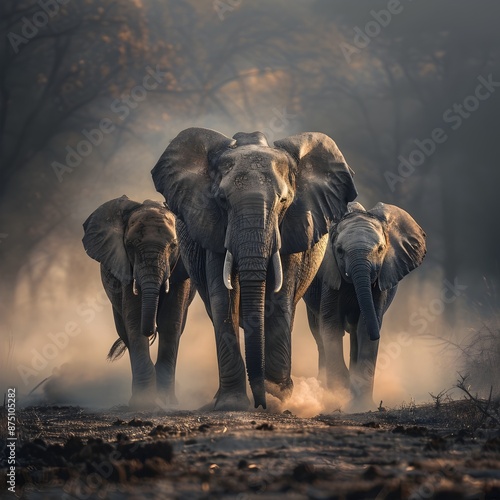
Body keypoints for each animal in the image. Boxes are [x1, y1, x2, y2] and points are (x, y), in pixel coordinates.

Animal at [82, 193, 193, 408]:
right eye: (130, 246)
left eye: (174, 246)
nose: (150, 330)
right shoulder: (124, 265)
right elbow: (134, 321)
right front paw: (144, 402)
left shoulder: (181, 269)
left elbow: (171, 322)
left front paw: (166, 402)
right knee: (124, 331)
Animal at [150, 127, 358, 408]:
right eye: (222, 200)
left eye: (284, 201)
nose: (261, 403)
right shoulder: (213, 229)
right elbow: (223, 299)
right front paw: (232, 404)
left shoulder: (292, 228)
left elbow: (280, 298)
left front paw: (278, 399)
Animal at [304, 200, 426, 410]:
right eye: (339, 251)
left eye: (380, 249)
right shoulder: (330, 274)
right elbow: (331, 326)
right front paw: (339, 395)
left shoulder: (380, 280)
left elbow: (365, 327)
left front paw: (361, 403)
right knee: (318, 333)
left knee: (354, 334)